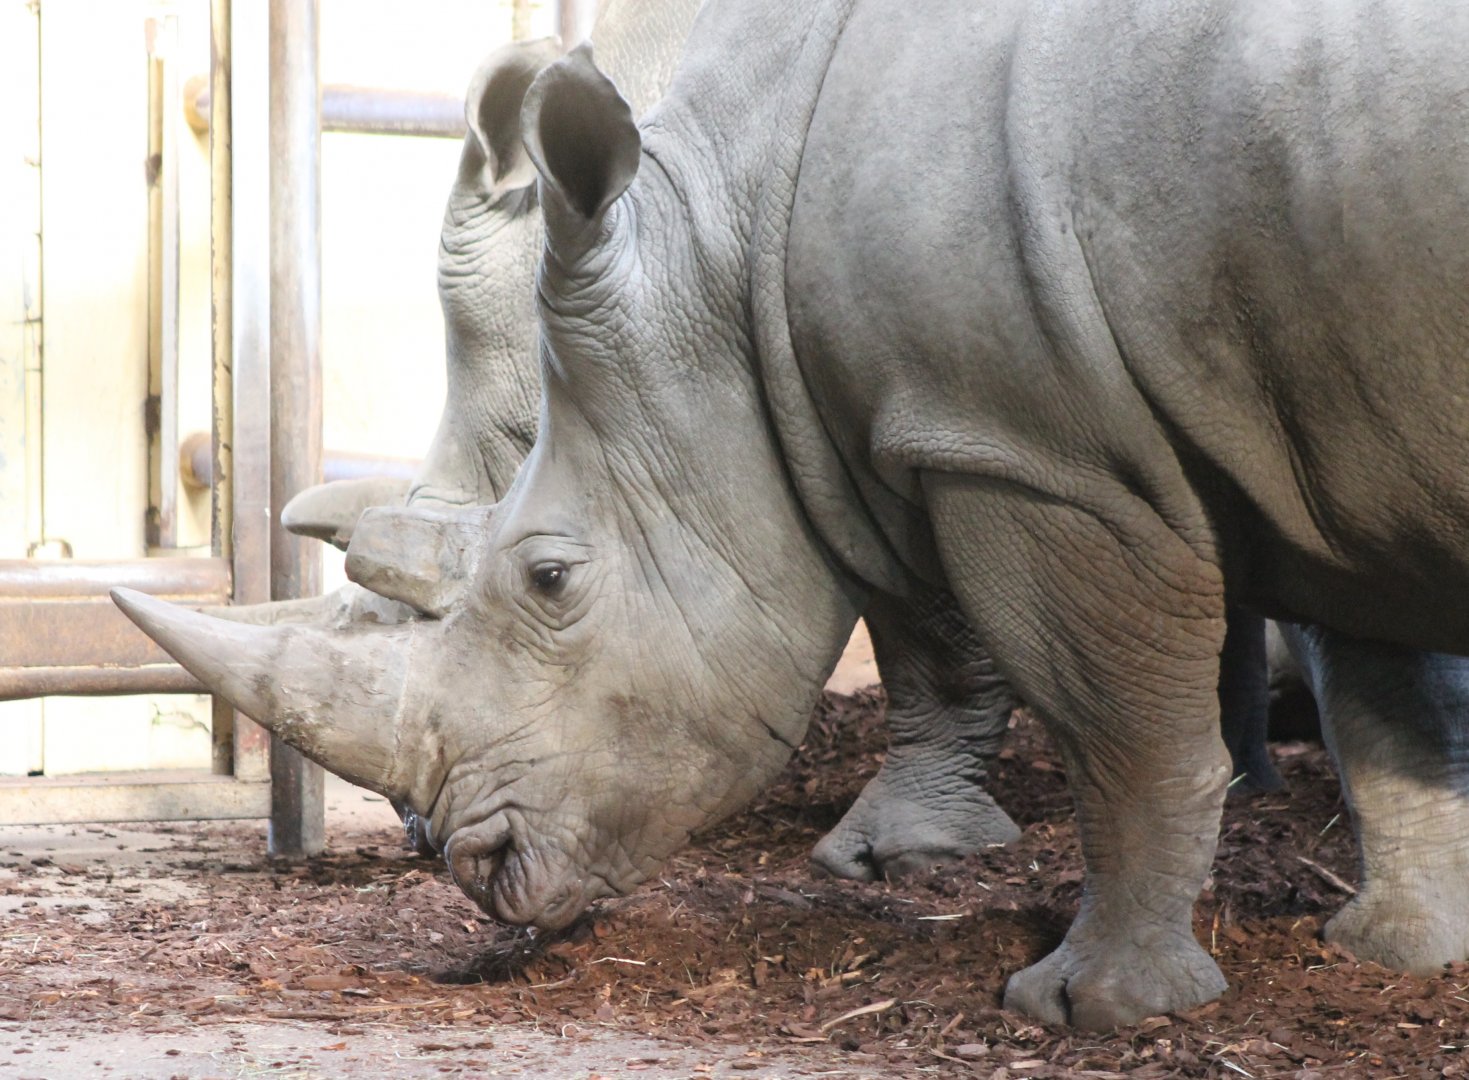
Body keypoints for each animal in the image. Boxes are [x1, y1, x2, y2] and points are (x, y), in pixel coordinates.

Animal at [114, 0, 1469, 1029]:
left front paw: (1091, 1005)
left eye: (547, 578)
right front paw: (1399, 949)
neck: (718, 221)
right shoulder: (1325, 413)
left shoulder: (1011, 444)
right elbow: (1379, 705)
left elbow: (1111, 728)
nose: (462, 860)